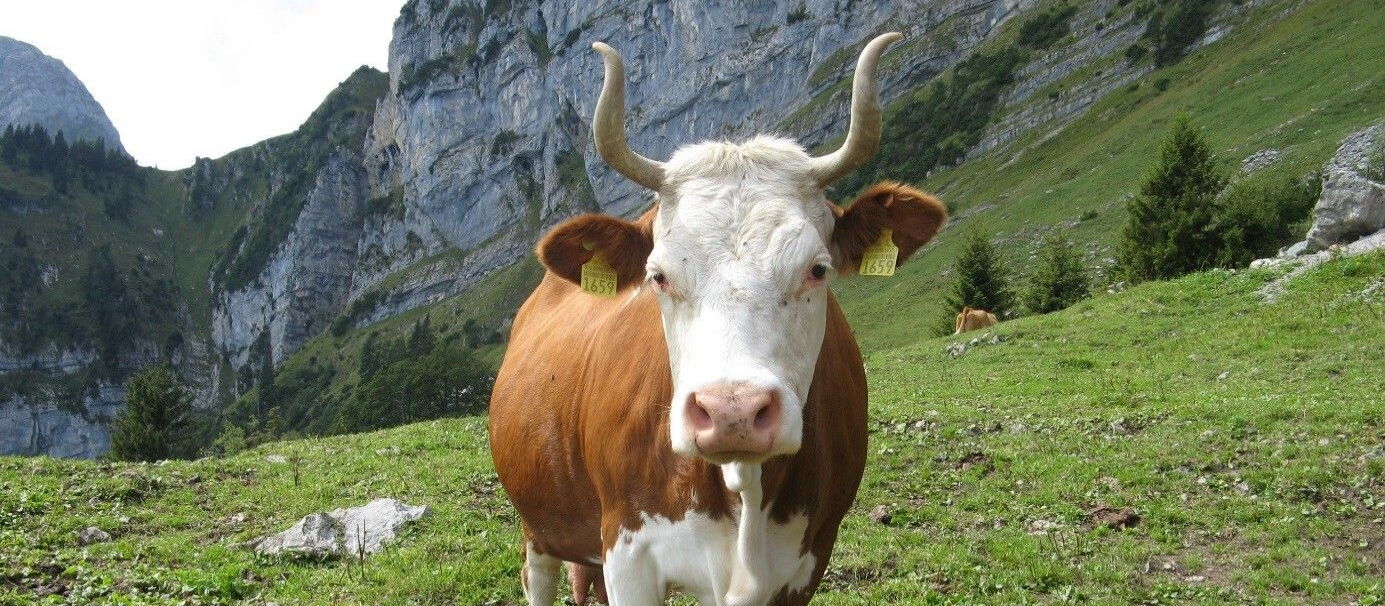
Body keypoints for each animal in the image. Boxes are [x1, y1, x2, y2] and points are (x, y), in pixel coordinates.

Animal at [489, 33, 948, 606]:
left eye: (817, 269)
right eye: (658, 276)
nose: (733, 412)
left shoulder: (805, 562)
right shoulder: (629, 553)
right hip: (539, 524)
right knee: (540, 576)